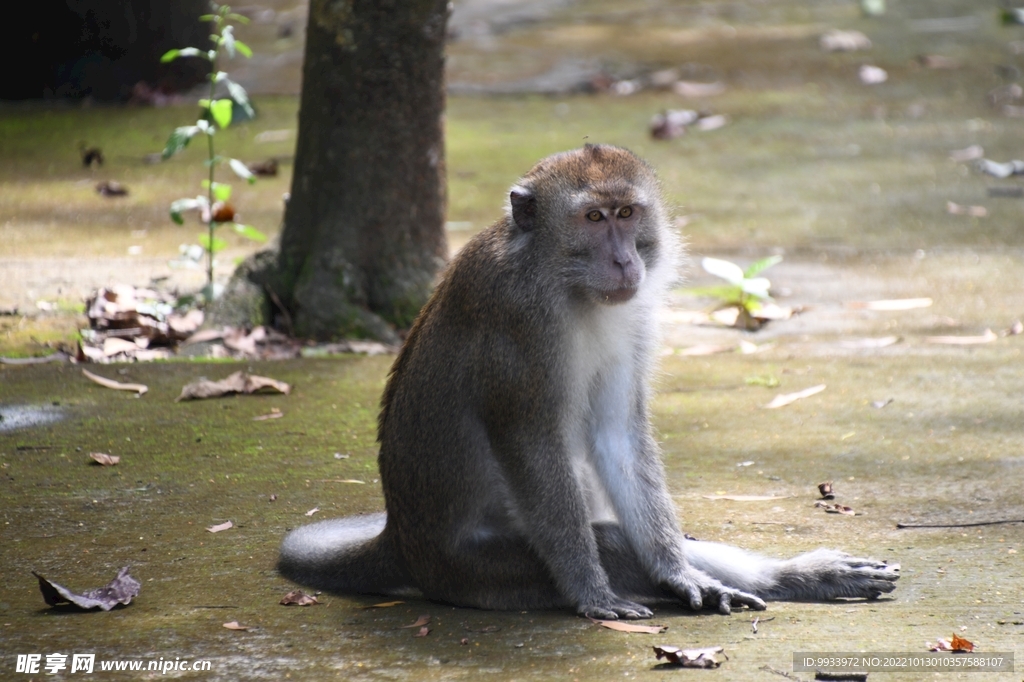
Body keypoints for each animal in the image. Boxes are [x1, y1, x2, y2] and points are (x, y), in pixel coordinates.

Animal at [278, 143, 897, 614]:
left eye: (626, 214)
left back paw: (797, 577)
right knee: (607, 540)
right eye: (593, 219)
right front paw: (591, 592)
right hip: (481, 572)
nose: (624, 261)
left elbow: (617, 433)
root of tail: (401, 540)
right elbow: (529, 442)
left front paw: (680, 573)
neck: (566, 283)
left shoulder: (634, 317)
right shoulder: (519, 319)